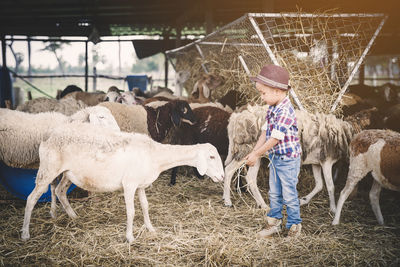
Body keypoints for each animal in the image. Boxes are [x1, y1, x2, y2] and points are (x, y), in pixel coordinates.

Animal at [21, 122, 225, 244]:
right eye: (211, 157)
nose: (222, 177)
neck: (156, 155)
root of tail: (49, 134)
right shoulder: (129, 184)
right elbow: (131, 211)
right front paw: (130, 237)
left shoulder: (141, 184)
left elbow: (145, 206)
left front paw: (150, 228)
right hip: (48, 168)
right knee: (32, 199)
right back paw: (25, 233)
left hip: (68, 173)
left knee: (60, 191)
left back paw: (73, 217)